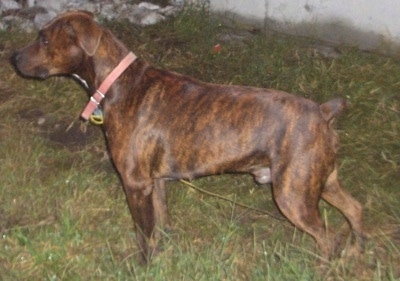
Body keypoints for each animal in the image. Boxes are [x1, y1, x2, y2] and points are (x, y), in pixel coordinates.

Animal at [10, 10, 364, 260]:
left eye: (44, 40)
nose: (12, 57)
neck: (118, 82)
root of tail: (323, 111)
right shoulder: (155, 182)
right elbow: (161, 221)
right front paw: (164, 247)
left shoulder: (135, 184)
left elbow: (144, 233)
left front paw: (144, 265)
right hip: (320, 181)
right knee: (355, 209)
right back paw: (357, 249)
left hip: (292, 195)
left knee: (327, 236)